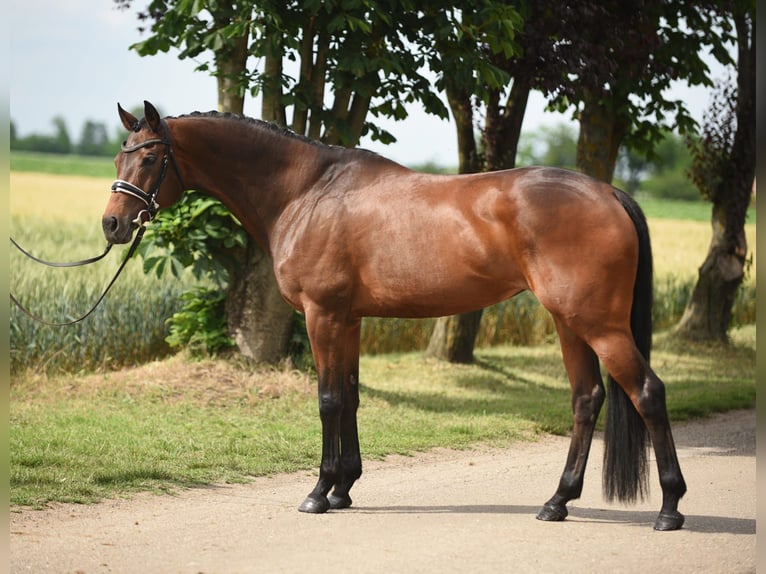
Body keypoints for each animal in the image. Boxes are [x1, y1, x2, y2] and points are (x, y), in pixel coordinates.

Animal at [103, 101, 688, 532]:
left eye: (150, 160)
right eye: (117, 160)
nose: (112, 224)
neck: (306, 192)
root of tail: (608, 192)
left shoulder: (322, 316)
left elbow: (328, 399)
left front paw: (319, 492)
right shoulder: (349, 320)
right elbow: (351, 397)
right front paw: (344, 488)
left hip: (599, 324)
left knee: (647, 393)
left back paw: (669, 508)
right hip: (570, 322)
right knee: (587, 399)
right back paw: (557, 502)